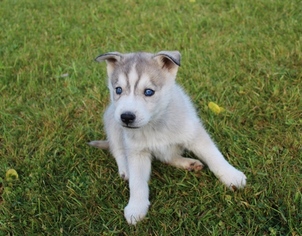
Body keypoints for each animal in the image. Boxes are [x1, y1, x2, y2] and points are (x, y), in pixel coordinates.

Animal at [89, 51, 245, 225]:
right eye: (118, 90)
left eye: (149, 92)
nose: (126, 117)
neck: (154, 124)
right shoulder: (137, 152)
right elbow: (137, 182)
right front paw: (136, 207)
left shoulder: (194, 134)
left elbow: (214, 156)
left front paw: (231, 175)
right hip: (112, 121)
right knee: (118, 150)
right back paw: (125, 169)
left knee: (168, 157)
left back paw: (188, 163)